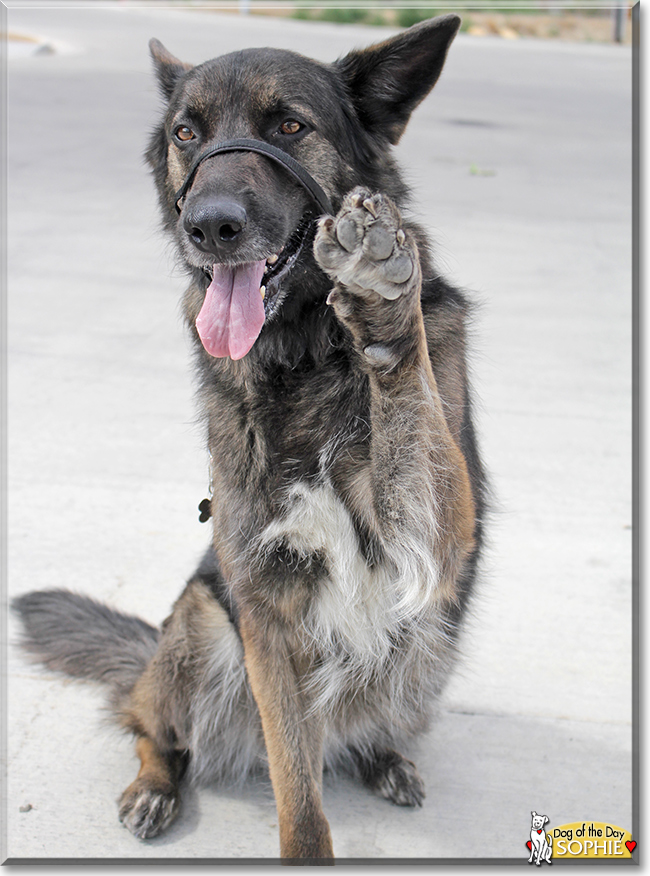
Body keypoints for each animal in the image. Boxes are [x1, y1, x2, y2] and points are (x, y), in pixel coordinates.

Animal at [12, 13, 484, 864]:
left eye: (290, 126)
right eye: (186, 133)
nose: (210, 226)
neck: (305, 355)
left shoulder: (435, 541)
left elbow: (407, 389)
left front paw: (380, 298)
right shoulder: (265, 616)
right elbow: (299, 793)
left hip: (431, 644)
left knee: (374, 720)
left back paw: (383, 753)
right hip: (198, 628)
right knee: (150, 725)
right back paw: (155, 786)